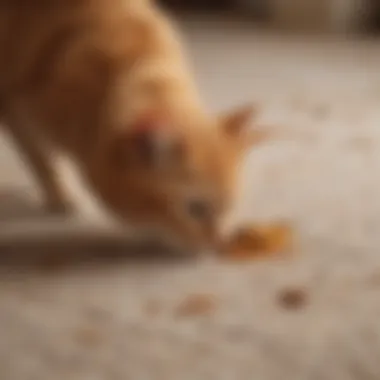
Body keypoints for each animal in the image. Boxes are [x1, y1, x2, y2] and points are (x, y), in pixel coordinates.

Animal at [0, 0, 258, 249]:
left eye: (231, 205)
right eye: (196, 209)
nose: (220, 241)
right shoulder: (17, 113)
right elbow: (43, 162)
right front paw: (59, 195)